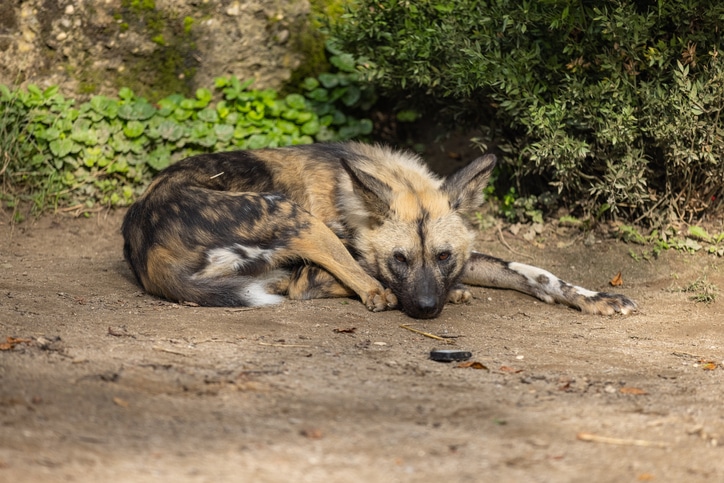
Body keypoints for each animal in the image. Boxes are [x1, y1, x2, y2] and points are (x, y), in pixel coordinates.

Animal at [121, 142, 636, 320]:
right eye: (399, 259)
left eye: (444, 256)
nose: (426, 309)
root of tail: (145, 241)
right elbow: (362, 274)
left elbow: (537, 273)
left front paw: (596, 298)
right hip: (291, 216)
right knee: (344, 284)